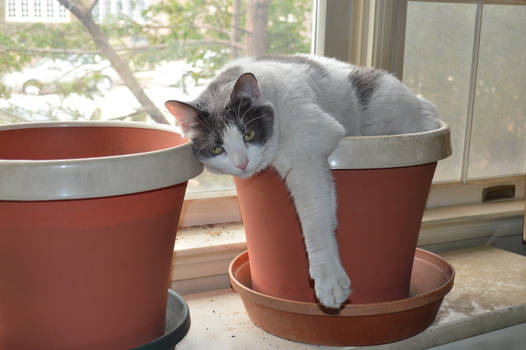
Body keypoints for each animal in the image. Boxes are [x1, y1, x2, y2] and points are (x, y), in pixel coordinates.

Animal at [166, 53, 442, 308]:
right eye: (216, 148)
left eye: (249, 134)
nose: (241, 163)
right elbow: (325, 205)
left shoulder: (306, 148)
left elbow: (314, 219)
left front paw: (328, 280)